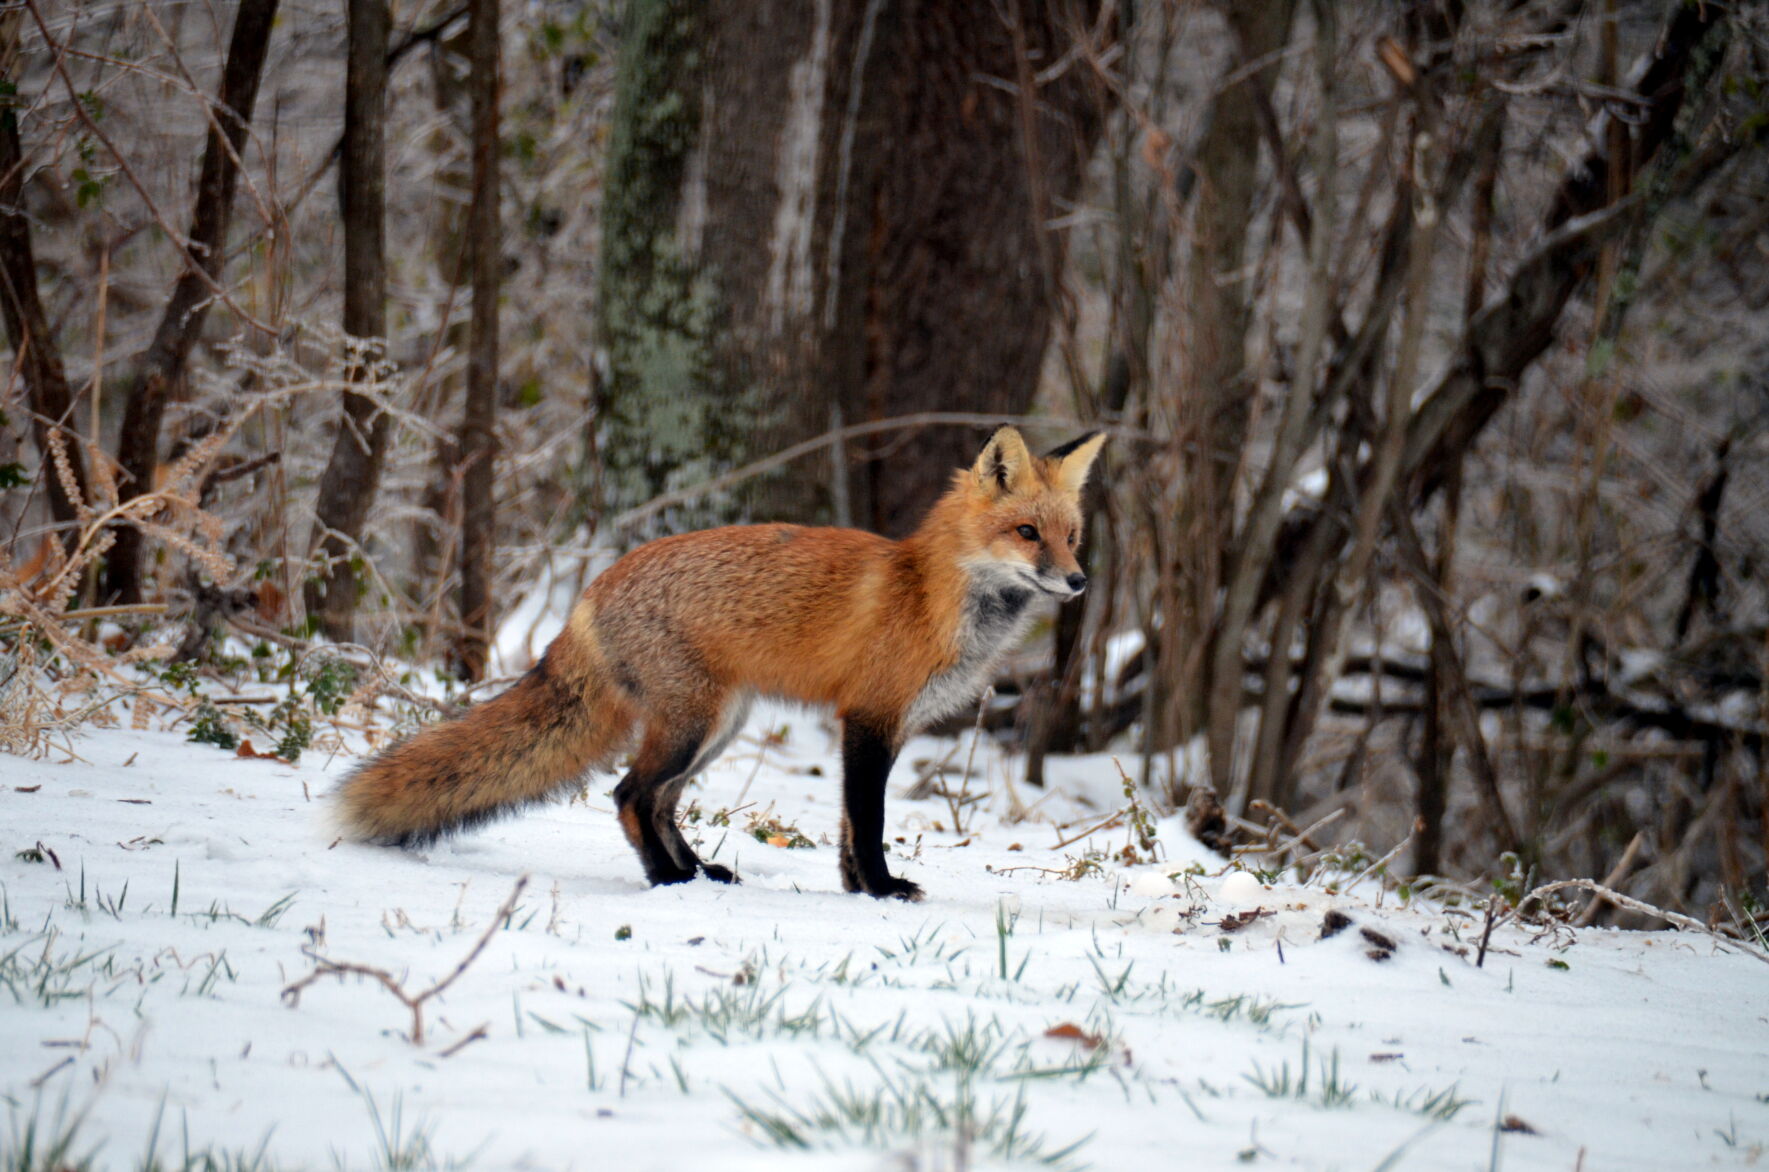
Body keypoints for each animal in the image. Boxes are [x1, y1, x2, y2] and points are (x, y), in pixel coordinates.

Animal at [336, 426, 1105, 900]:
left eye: (1070, 536)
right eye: (1026, 532)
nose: (1077, 583)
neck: (931, 594)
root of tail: (592, 589)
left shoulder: (884, 726)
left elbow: (848, 827)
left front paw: (857, 891)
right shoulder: (868, 718)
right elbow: (868, 820)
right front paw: (883, 890)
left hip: (717, 727)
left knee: (658, 801)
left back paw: (698, 872)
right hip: (691, 725)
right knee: (628, 794)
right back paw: (668, 881)